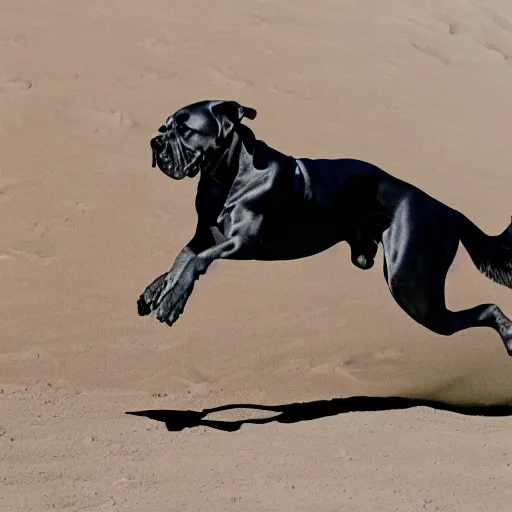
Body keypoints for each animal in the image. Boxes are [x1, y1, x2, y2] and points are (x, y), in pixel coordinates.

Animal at [137, 99, 512, 356]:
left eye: (185, 130)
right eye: (163, 127)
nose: (154, 143)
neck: (226, 176)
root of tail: (449, 210)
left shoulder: (243, 242)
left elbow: (197, 260)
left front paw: (172, 301)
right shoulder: (205, 235)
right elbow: (182, 257)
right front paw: (158, 290)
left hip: (412, 289)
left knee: (485, 309)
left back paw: (508, 335)